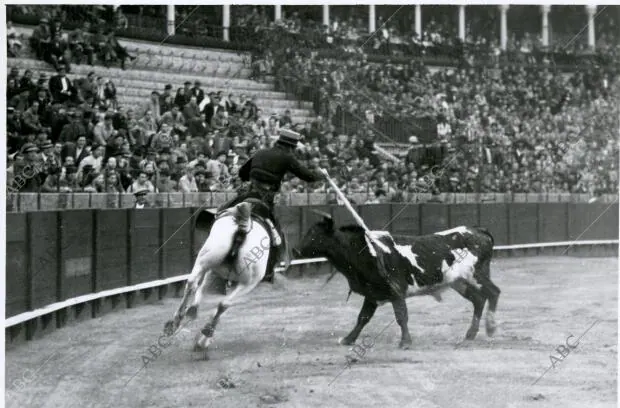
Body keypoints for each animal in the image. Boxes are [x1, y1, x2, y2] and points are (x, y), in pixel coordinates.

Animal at [163, 201, 286, 354]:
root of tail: (243, 228)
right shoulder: (216, 272)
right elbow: (205, 289)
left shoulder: (212, 270)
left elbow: (201, 287)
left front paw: (192, 312)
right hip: (250, 282)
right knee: (224, 303)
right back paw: (204, 336)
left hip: (205, 259)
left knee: (193, 284)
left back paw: (177, 323)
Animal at [294, 212, 502, 350]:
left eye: (315, 234)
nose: (295, 250)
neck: (363, 250)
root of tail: (478, 230)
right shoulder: (372, 293)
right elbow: (363, 318)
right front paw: (348, 339)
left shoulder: (395, 291)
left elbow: (401, 316)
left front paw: (405, 342)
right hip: (459, 282)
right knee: (479, 300)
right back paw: (470, 334)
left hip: (476, 274)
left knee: (493, 292)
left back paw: (491, 328)